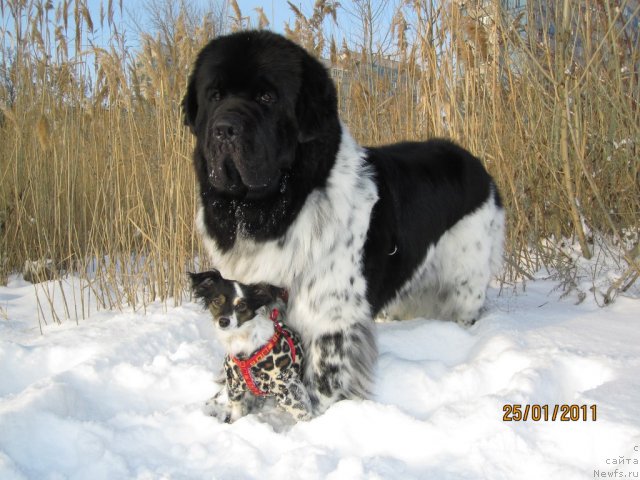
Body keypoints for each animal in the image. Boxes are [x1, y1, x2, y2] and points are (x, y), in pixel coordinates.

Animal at [181, 30, 504, 414]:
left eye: (266, 97)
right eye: (214, 95)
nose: (224, 129)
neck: (280, 209)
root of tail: (476, 165)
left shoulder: (331, 316)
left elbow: (322, 379)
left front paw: (318, 418)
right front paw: (220, 406)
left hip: (465, 280)